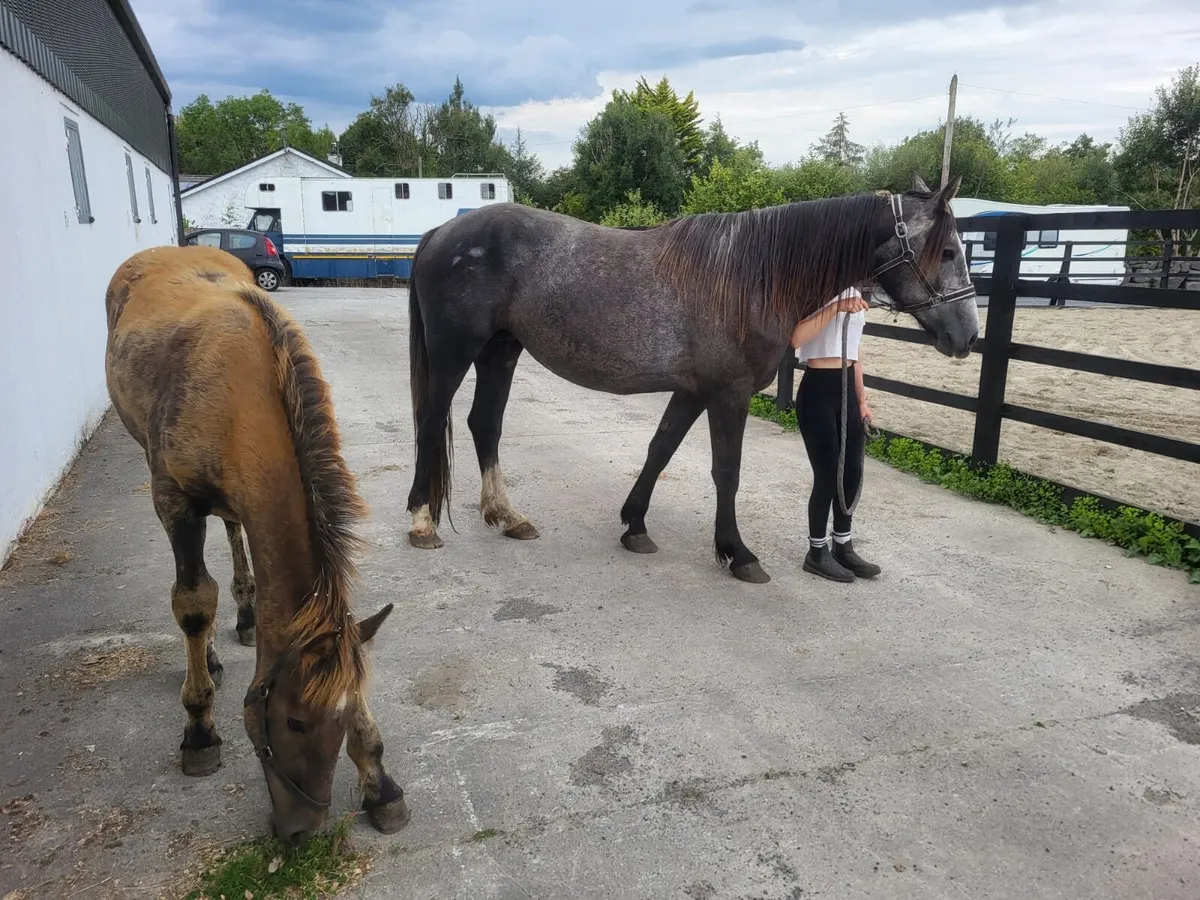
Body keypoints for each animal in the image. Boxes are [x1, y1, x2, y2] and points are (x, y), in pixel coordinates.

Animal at [104, 245, 409, 843]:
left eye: (344, 719)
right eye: (293, 721)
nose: (302, 830)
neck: (238, 390)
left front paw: (380, 783)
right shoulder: (174, 502)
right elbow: (192, 602)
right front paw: (200, 730)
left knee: (234, 533)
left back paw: (246, 616)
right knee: (196, 594)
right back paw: (210, 657)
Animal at [404, 175, 979, 584]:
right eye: (949, 251)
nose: (968, 336)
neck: (752, 275)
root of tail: (440, 233)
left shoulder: (692, 391)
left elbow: (659, 450)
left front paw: (635, 525)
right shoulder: (728, 394)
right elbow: (727, 472)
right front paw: (737, 552)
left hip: (501, 351)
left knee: (485, 424)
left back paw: (507, 516)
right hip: (455, 353)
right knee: (431, 423)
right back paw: (421, 522)